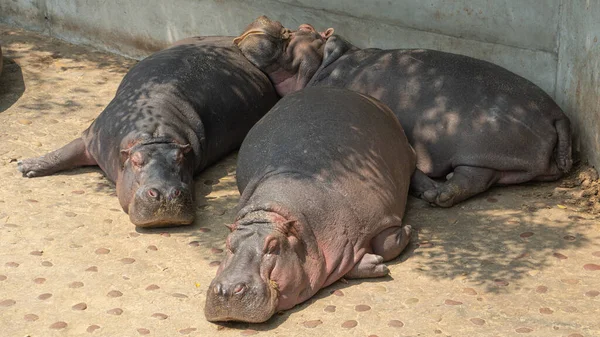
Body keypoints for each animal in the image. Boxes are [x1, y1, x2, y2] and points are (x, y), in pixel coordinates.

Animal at [18, 36, 278, 226]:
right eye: (136, 161)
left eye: (181, 158)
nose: (165, 193)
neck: (155, 137)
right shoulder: (93, 136)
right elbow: (67, 151)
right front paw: (25, 166)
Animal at [204, 87, 414, 322]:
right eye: (228, 244)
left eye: (273, 246)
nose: (228, 289)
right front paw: (375, 262)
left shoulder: (381, 216)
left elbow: (387, 244)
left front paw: (406, 232)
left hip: (405, 151)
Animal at [233, 16, 572, 207]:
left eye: (302, 28)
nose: (262, 17)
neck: (328, 59)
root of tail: (558, 114)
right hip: (494, 160)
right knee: (479, 178)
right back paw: (437, 193)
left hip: (480, 145)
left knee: (471, 177)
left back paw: (436, 195)